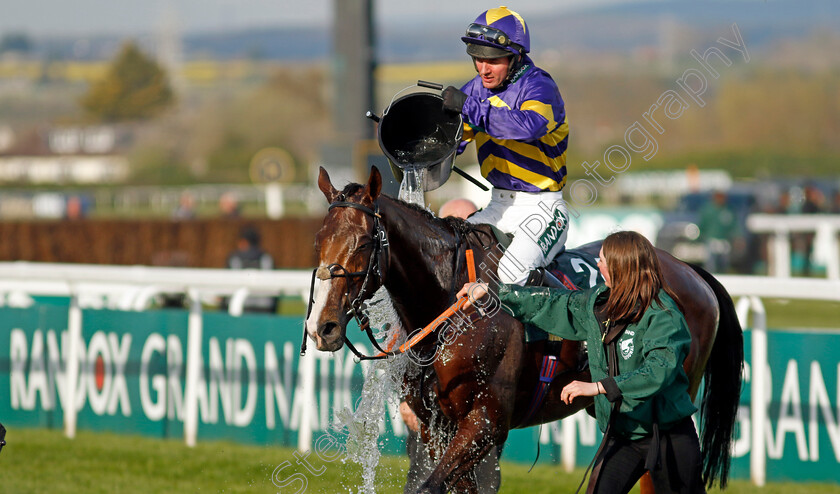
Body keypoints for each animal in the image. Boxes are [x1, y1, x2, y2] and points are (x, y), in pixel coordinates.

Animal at [306, 167, 744, 494]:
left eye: (364, 242)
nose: (321, 326)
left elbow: (432, 485)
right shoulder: (434, 425)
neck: (450, 312)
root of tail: (690, 270)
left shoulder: (486, 422)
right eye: (318, 240)